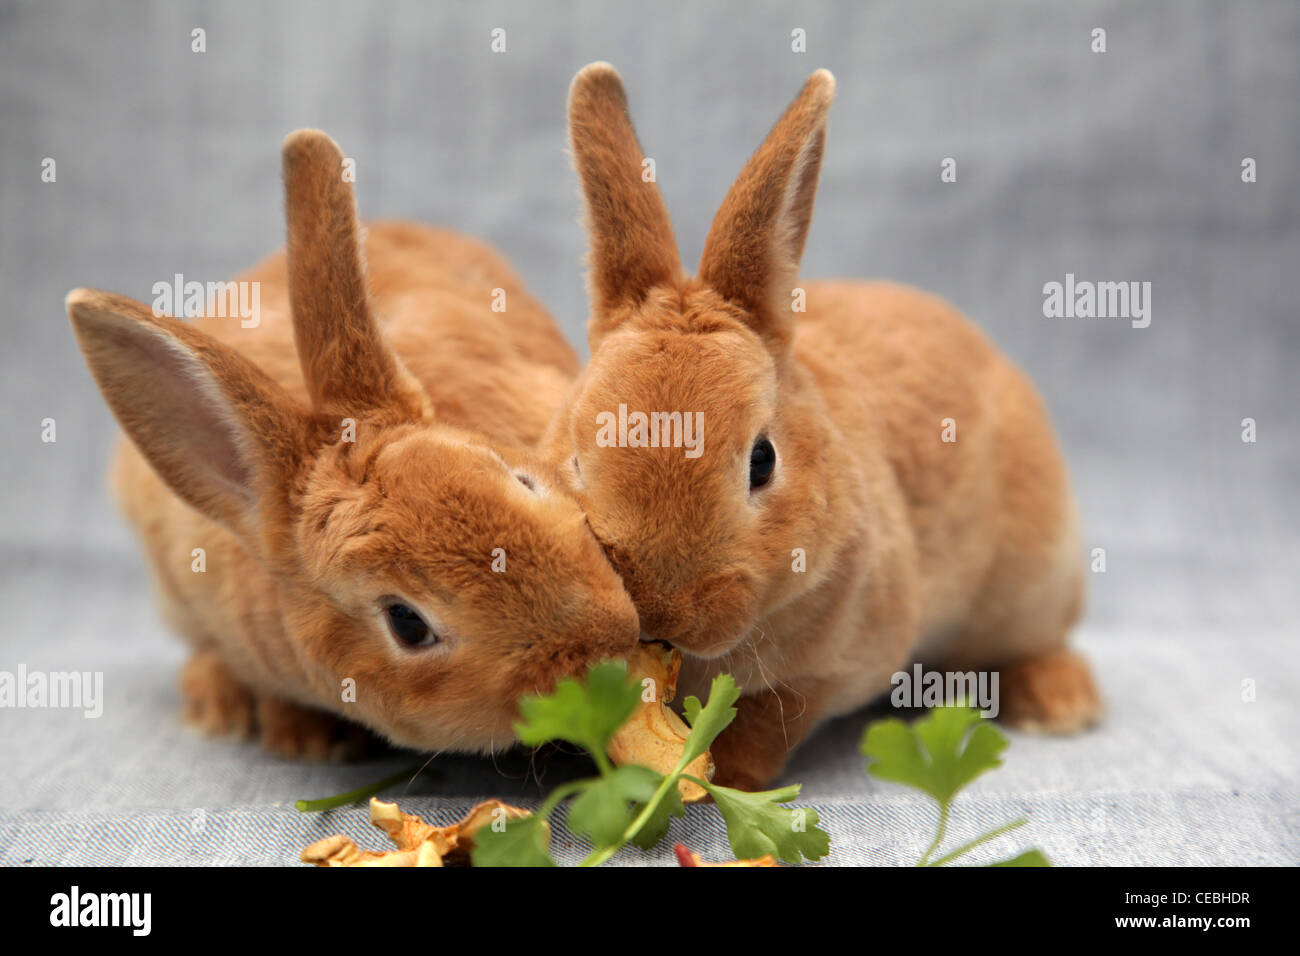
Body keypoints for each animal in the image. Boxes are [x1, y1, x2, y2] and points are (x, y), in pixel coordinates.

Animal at [538, 63, 1102, 790]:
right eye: (578, 461)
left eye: (762, 461)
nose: (662, 610)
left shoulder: (831, 669)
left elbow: (768, 719)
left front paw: (726, 778)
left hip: (1032, 583)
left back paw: (1061, 704)